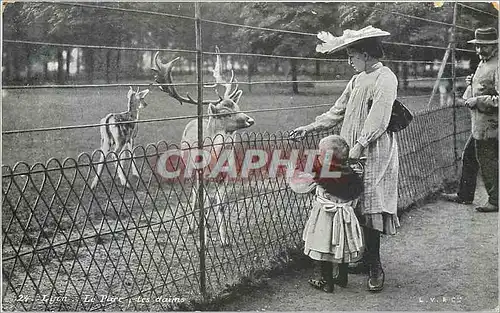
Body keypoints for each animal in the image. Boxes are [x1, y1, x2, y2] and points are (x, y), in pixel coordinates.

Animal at [151, 47, 254, 246]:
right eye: (224, 113)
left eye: (237, 107)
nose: (250, 119)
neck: (214, 160)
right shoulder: (201, 176)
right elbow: (204, 206)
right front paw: (204, 241)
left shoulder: (226, 176)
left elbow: (221, 206)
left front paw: (225, 240)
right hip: (189, 167)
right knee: (193, 196)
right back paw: (192, 227)